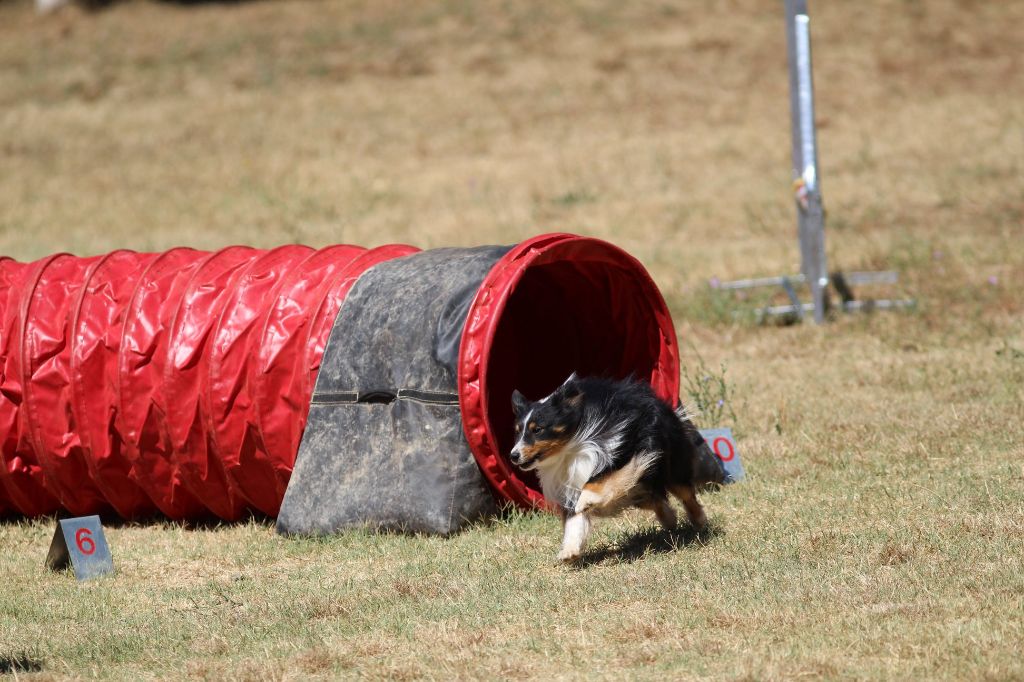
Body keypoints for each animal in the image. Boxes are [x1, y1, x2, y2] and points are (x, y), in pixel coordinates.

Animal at [509, 374, 720, 561]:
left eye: (537, 429)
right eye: (518, 432)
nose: (513, 455)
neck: (570, 448)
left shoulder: (629, 451)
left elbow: (598, 480)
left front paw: (586, 500)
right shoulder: (568, 483)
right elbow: (574, 517)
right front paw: (569, 551)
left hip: (672, 464)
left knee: (685, 494)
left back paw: (699, 520)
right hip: (640, 491)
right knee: (655, 500)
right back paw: (669, 520)